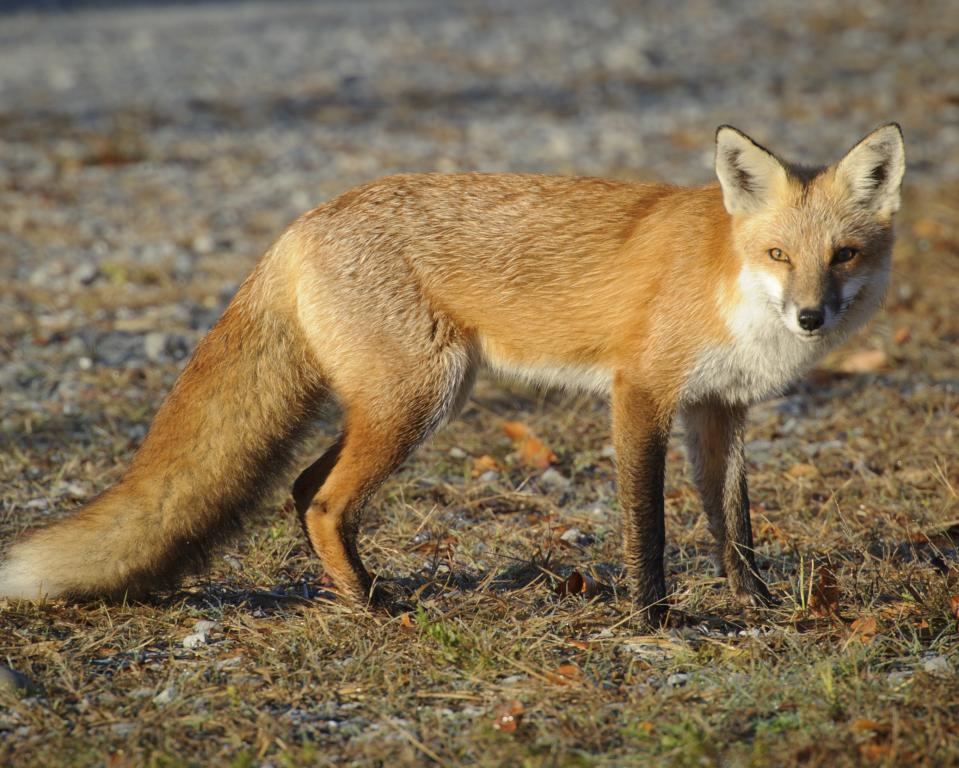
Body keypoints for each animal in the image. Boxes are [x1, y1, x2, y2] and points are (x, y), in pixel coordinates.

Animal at [0, 124, 904, 624]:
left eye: (842, 256)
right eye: (778, 255)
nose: (810, 318)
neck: (726, 279)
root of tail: (300, 223)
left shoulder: (718, 408)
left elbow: (731, 526)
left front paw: (756, 608)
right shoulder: (640, 393)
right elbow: (645, 523)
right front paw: (655, 620)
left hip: (408, 401)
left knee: (302, 488)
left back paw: (355, 593)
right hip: (420, 400)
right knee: (321, 500)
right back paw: (371, 607)